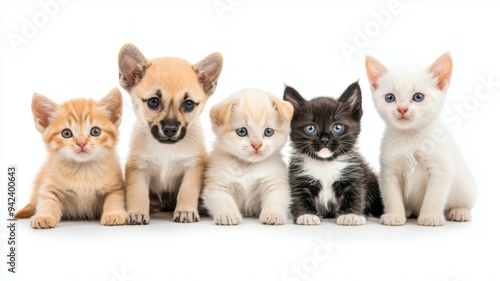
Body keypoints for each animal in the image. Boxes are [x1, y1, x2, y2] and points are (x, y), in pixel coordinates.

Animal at [15, 87, 127, 228]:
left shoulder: (115, 186)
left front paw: (114, 213)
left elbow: (114, 199)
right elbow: (48, 200)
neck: (83, 170)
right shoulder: (49, 185)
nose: (81, 143)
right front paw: (44, 216)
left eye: (95, 131)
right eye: (66, 133)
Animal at [117, 43, 223, 223]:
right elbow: (138, 193)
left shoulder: (193, 167)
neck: (165, 149)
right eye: (154, 101)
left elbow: (187, 191)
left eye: (188, 104)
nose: (170, 129)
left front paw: (185, 210)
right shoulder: (138, 168)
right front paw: (137, 212)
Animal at [202, 88, 294, 224]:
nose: (256, 145)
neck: (248, 166)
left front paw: (273, 215)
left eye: (268, 131)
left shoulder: (275, 184)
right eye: (241, 131)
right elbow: (223, 200)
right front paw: (228, 214)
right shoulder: (217, 186)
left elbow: (275, 199)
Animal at [284, 81, 384, 225]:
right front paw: (306, 215)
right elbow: (299, 196)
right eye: (310, 128)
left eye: (337, 127)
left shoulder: (353, 174)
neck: (325, 163)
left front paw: (350, 215)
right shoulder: (299, 176)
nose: (325, 140)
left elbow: (354, 193)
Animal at [368, 53, 476, 226]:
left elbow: (434, 196)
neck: (410, 136)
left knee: (464, 203)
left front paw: (430, 216)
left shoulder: (441, 169)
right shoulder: (388, 171)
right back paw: (407, 211)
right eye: (390, 98)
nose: (402, 109)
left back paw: (459, 211)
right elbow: (391, 195)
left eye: (418, 97)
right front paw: (394, 215)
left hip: (466, 187)